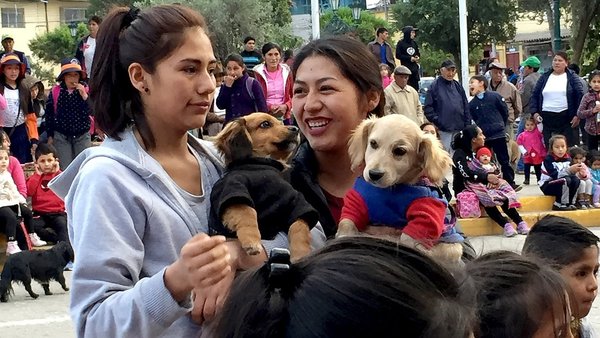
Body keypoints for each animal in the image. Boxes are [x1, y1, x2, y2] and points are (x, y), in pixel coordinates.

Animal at [209, 112, 318, 260]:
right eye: (265, 124)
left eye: (281, 122)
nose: (295, 129)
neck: (261, 164)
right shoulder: (232, 189)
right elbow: (249, 211)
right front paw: (252, 241)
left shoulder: (295, 201)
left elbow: (299, 226)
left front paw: (301, 253)